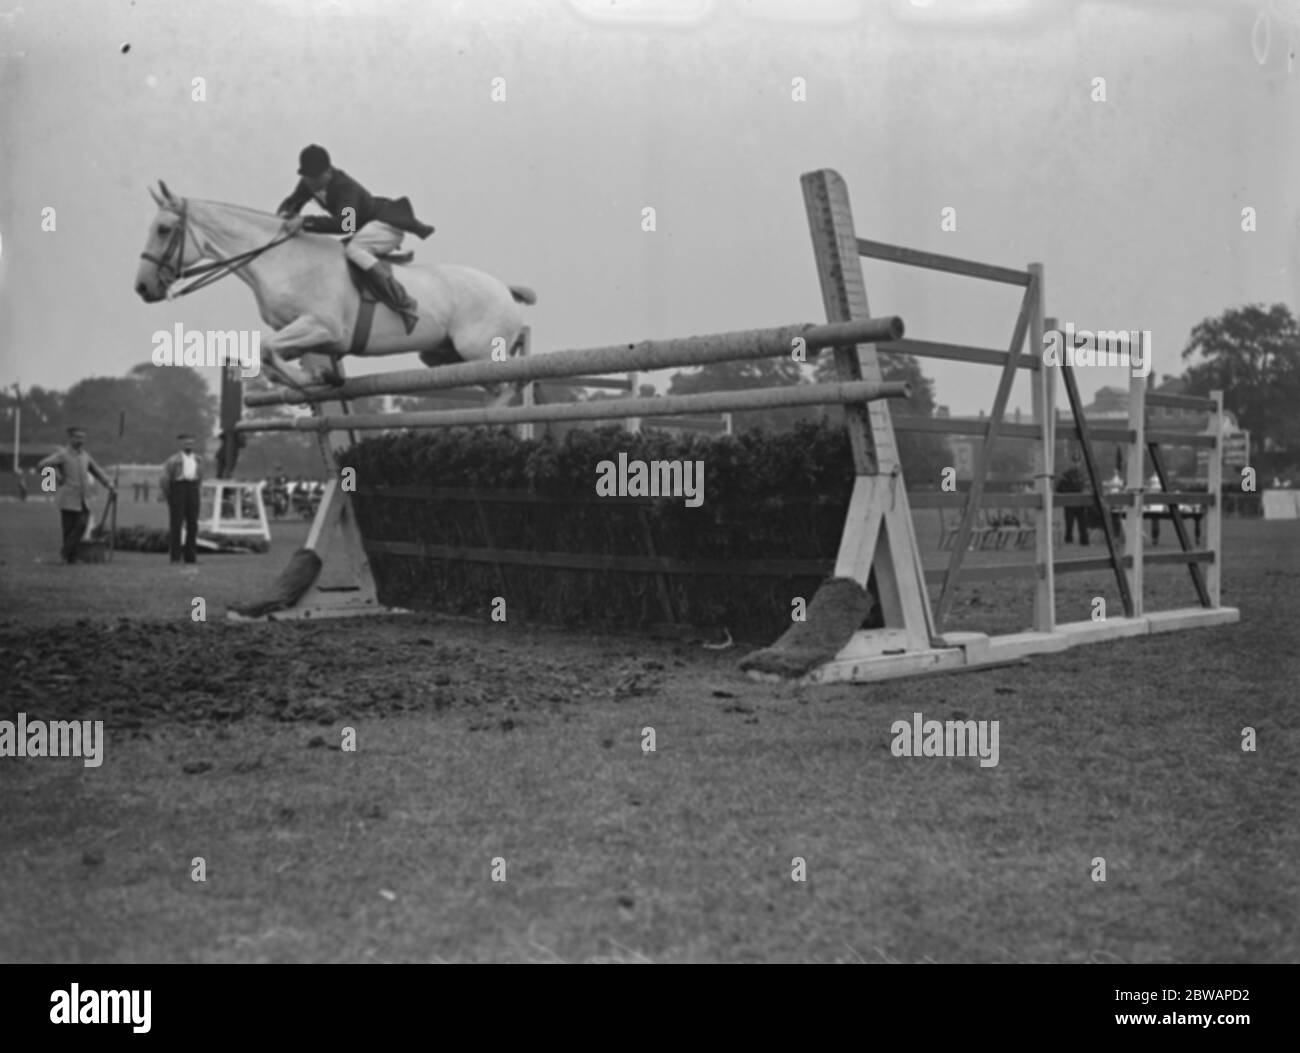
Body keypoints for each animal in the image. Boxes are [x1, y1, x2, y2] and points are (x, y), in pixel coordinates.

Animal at [133, 180, 538, 395]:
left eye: (164, 230)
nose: (143, 287)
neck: (280, 260)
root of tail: (506, 290)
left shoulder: (323, 326)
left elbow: (266, 350)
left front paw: (309, 380)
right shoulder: (304, 334)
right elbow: (273, 357)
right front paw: (319, 376)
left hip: (480, 353)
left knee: (508, 388)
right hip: (442, 354)